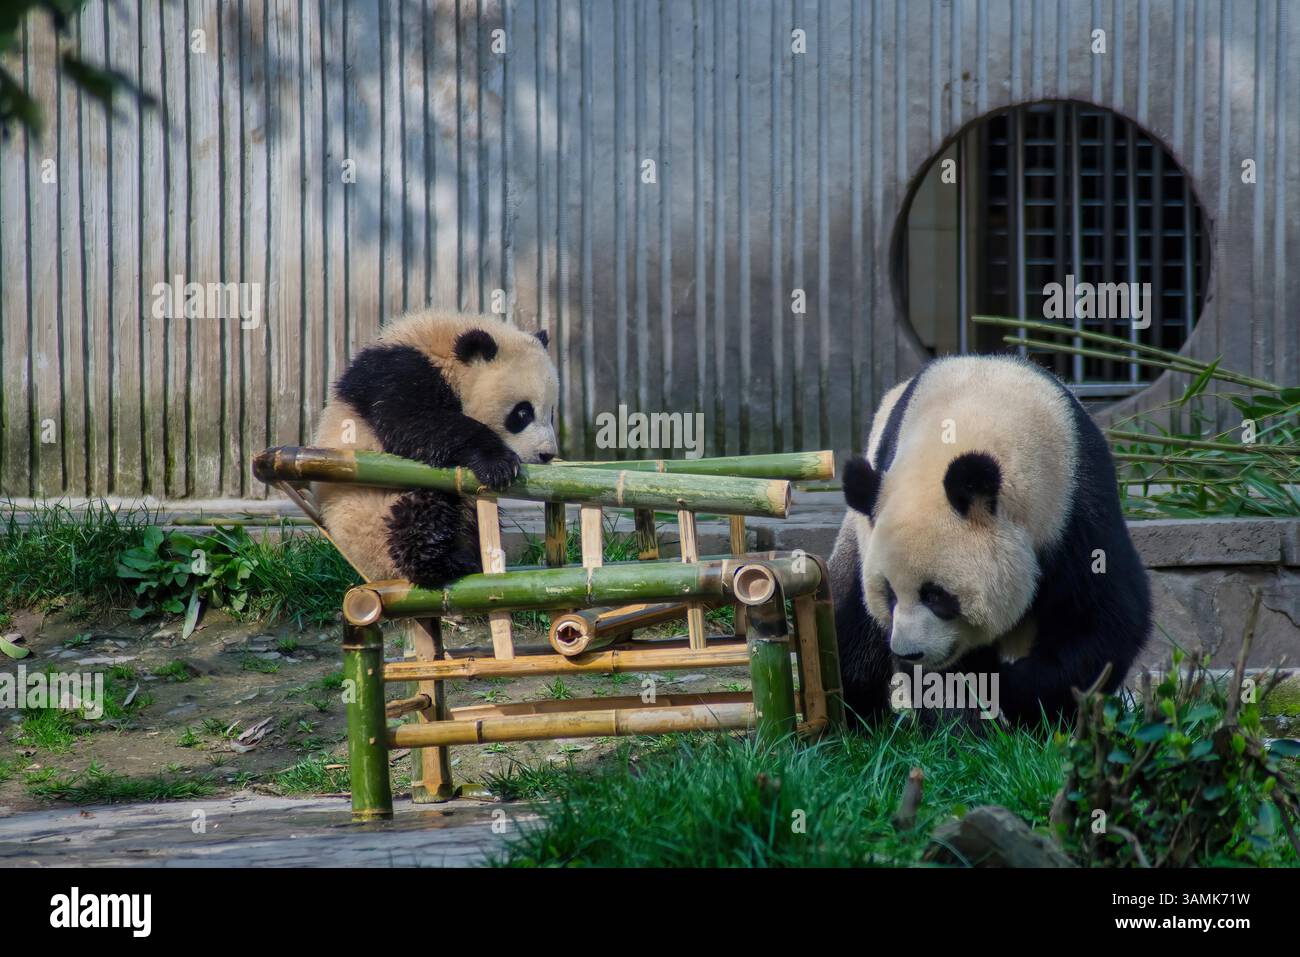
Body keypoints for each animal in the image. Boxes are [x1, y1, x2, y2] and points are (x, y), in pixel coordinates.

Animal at [312, 308, 558, 588]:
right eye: (522, 412)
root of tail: (376, 573)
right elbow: (412, 422)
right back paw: (441, 563)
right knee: (420, 513)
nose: (546, 454)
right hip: (370, 513)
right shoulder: (398, 372)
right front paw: (498, 463)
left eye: (551, 412)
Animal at [829, 354, 1150, 727]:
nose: (910, 652)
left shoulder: (1076, 506)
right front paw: (965, 723)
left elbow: (1098, 622)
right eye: (889, 594)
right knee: (851, 624)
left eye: (936, 595)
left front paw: (1024, 699)